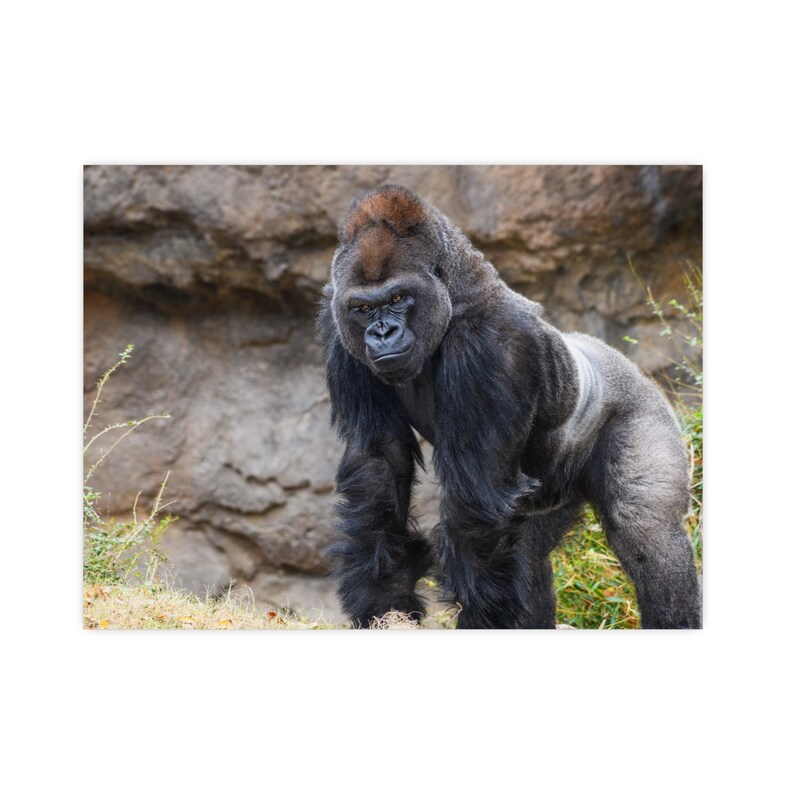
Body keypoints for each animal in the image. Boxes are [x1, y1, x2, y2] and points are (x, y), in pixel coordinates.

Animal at [317, 184, 701, 629]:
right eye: (363, 309)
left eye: (398, 297)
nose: (382, 333)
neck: (456, 294)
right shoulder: (338, 328)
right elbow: (380, 462)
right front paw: (385, 601)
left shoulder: (492, 344)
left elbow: (476, 499)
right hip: (552, 488)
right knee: (529, 551)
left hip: (643, 412)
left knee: (646, 530)